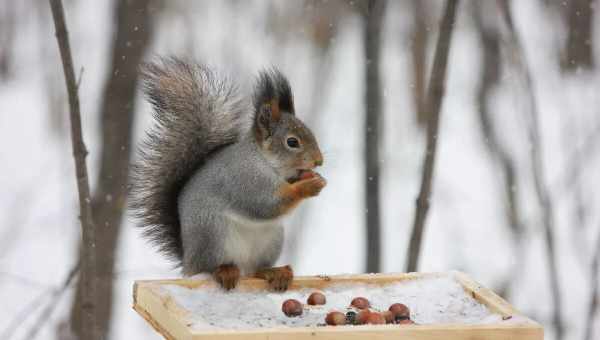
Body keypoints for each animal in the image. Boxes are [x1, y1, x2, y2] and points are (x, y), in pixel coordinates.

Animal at [129, 57, 326, 290]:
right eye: (292, 142)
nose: (319, 161)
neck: (266, 162)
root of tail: (189, 262)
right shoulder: (244, 178)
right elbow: (265, 204)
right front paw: (308, 186)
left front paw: (312, 178)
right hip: (213, 234)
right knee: (212, 267)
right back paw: (225, 271)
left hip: (272, 240)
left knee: (256, 269)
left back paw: (274, 272)